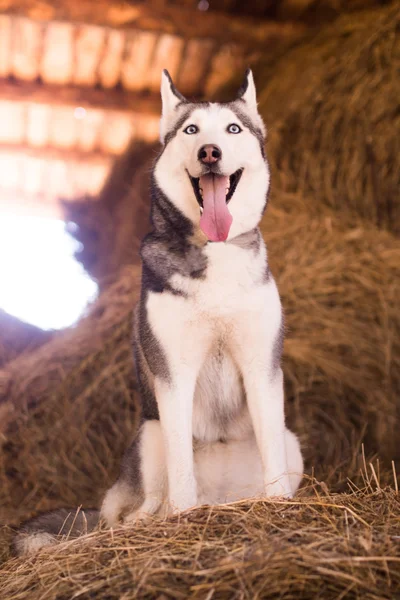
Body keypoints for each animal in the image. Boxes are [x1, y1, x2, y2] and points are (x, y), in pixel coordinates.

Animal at [14, 70, 304, 556]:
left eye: (232, 129)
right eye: (191, 130)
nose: (210, 153)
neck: (215, 253)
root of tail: (221, 496)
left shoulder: (262, 365)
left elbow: (271, 453)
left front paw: (278, 505)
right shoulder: (173, 372)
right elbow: (179, 460)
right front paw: (184, 516)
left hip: (292, 443)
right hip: (148, 436)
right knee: (134, 510)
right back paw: (149, 520)